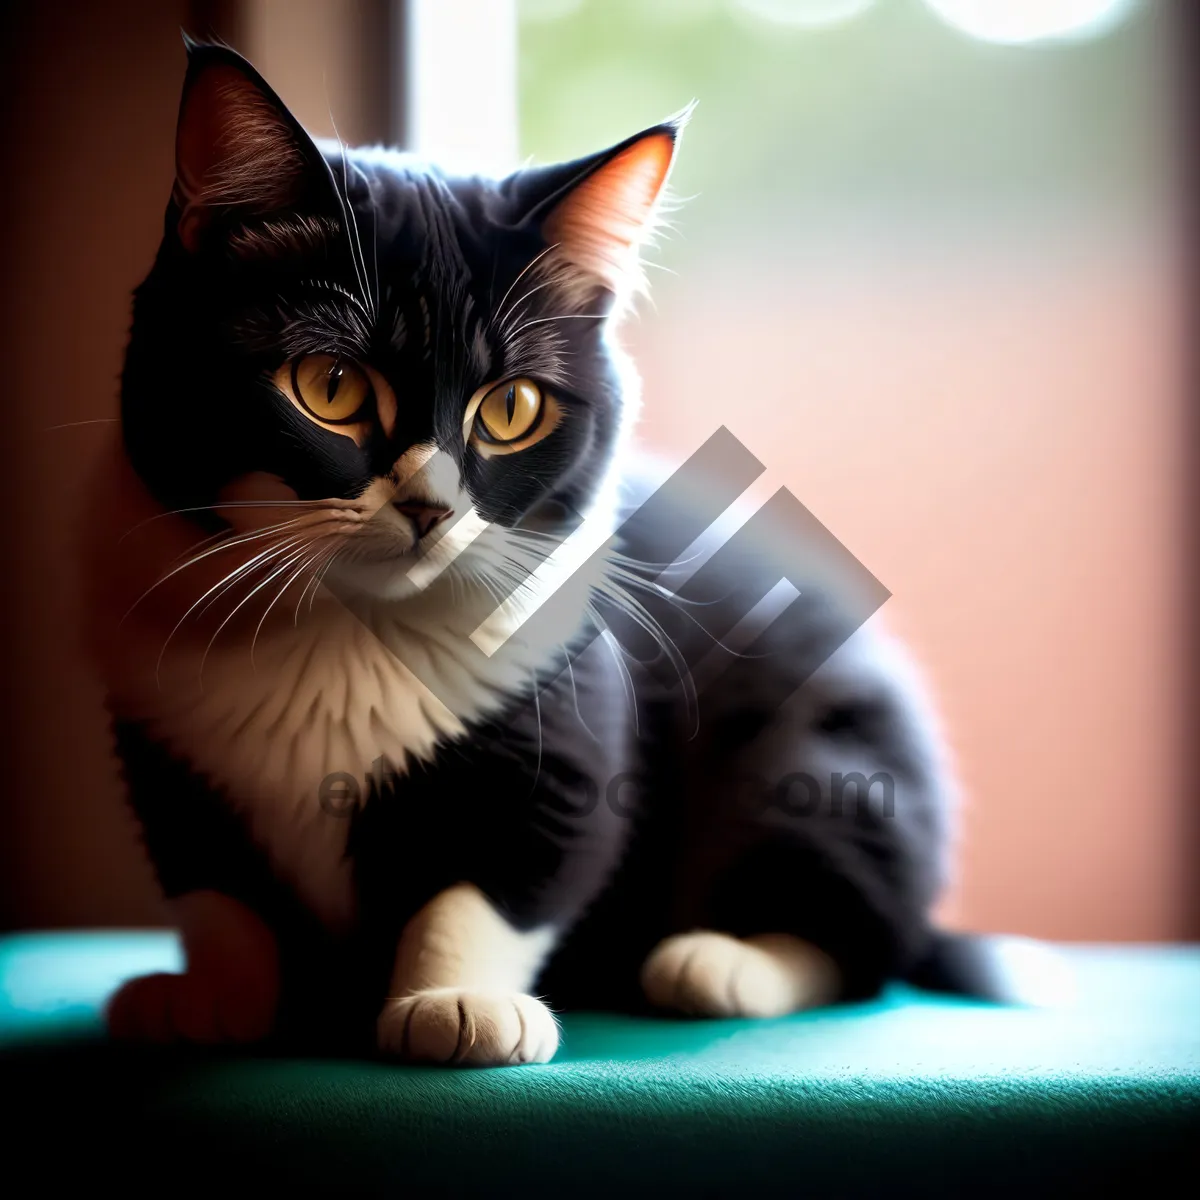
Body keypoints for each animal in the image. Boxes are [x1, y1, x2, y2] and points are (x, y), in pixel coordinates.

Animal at [79, 42, 1012, 1065]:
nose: (429, 506)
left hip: (826, 763)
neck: (348, 628)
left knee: (854, 928)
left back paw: (720, 963)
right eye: (328, 386)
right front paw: (217, 995)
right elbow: (216, 889)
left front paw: (457, 1002)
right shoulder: (163, 745)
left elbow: (507, 875)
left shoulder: (569, 709)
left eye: (513, 408)